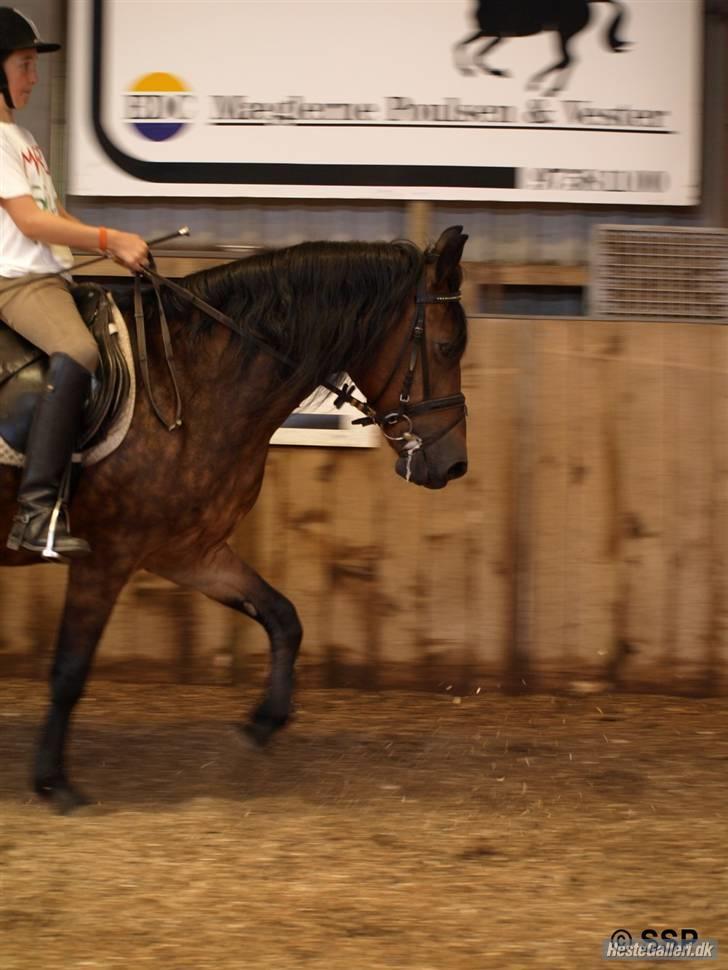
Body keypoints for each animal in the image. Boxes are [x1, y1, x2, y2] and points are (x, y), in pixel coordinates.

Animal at [0, 225, 469, 813]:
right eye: (448, 347)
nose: (455, 465)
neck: (189, 382)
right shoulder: (108, 555)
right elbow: (69, 668)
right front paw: (52, 781)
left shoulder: (187, 551)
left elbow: (284, 617)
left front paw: (262, 724)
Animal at [454, 0, 630, 95]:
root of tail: (587, 2)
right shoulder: (486, 32)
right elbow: (459, 46)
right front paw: (467, 71)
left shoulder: (498, 35)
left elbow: (478, 55)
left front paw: (499, 72)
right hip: (565, 33)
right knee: (568, 59)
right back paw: (550, 88)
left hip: (564, 32)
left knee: (566, 59)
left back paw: (541, 85)